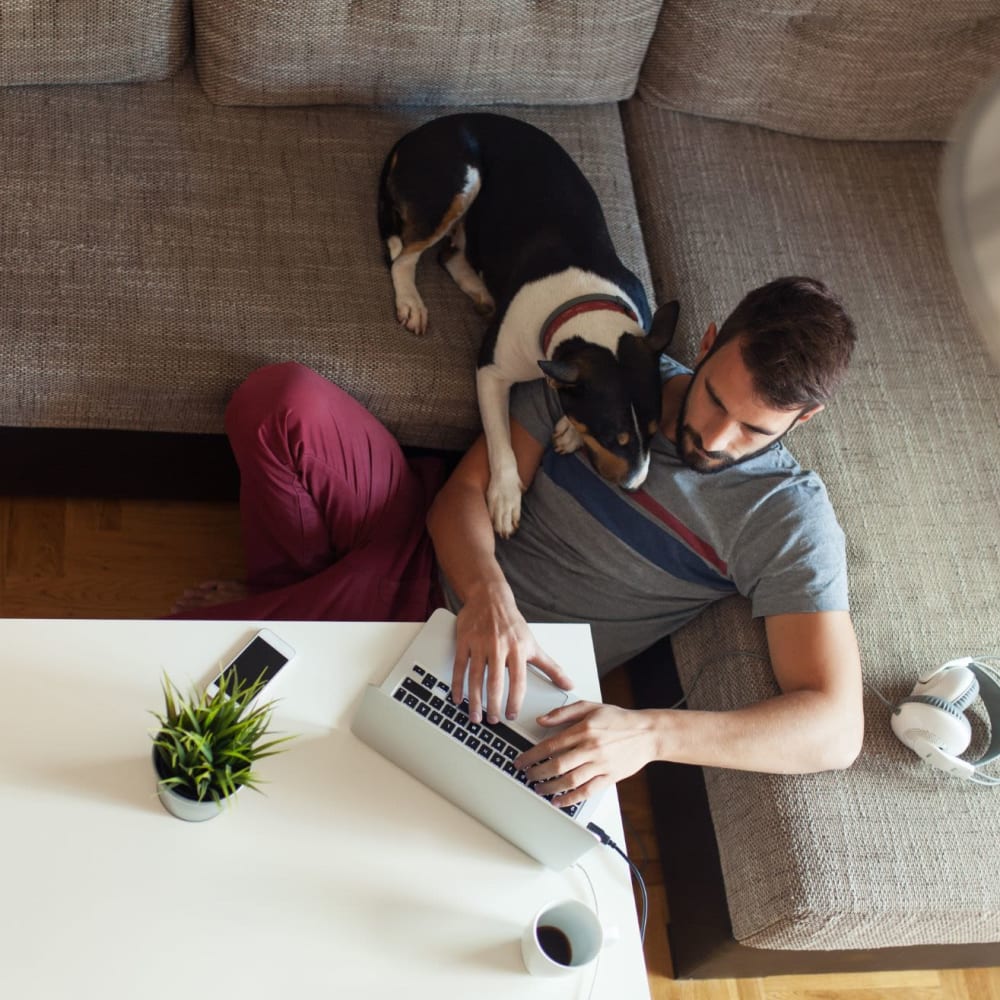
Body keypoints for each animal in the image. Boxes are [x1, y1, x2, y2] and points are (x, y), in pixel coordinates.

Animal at [376, 112, 680, 536]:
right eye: (611, 437)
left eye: (654, 433)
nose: (634, 486)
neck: (584, 307)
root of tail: (426, 129)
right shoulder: (490, 372)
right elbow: (500, 440)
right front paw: (505, 499)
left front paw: (569, 430)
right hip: (461, 182)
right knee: (404, 257)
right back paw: (412, 302)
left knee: (449, 256)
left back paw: (480, 291)